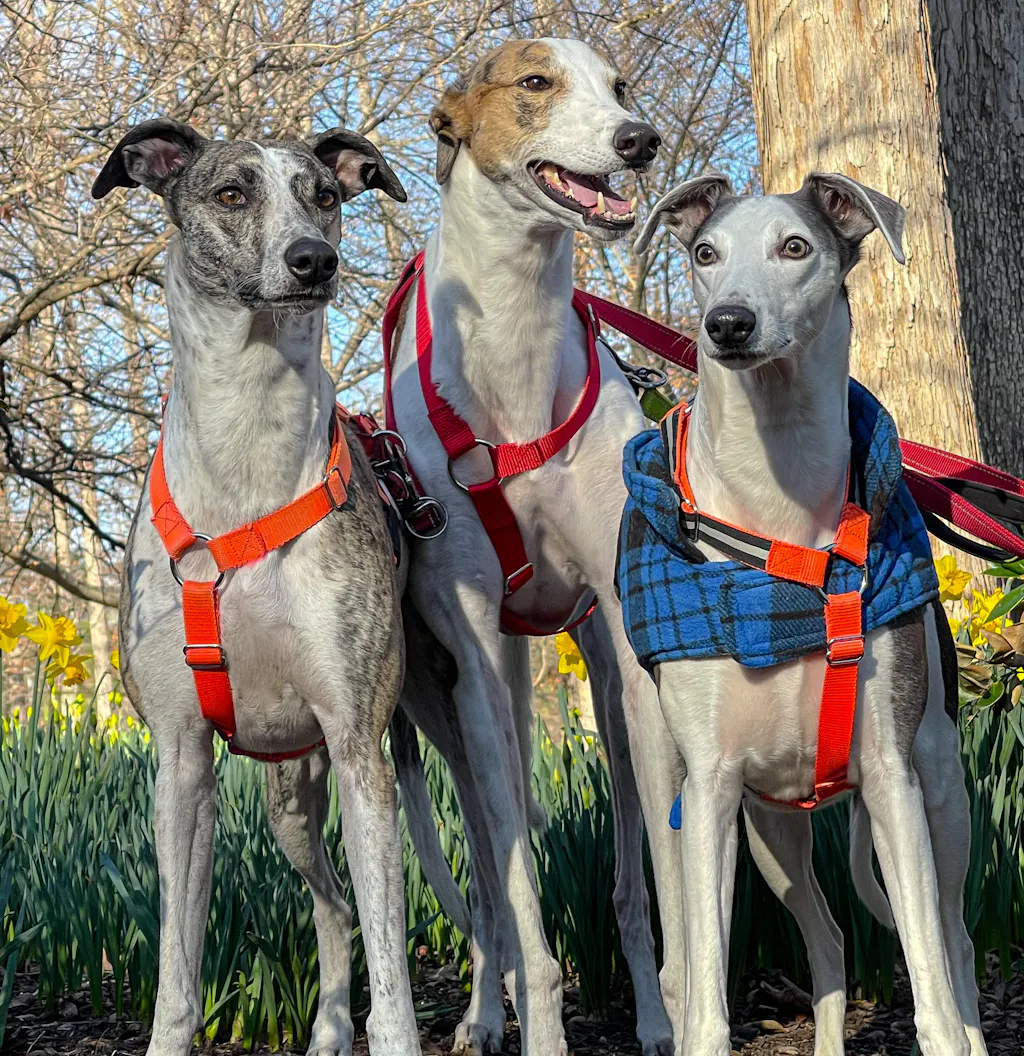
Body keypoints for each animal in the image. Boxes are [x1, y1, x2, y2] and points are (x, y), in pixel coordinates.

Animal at [92, 120, 419, 1056]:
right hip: (288, 801)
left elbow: (396, 981)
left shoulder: (360, 748)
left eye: (326, 195)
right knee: (333, 908)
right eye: (232, 193)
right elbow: (176, 971)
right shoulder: (179, 762)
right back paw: (329, 1030)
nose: (314, 260)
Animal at [386, 38, 679, 1056]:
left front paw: (686, 1007)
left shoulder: (631, 647)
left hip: (602, 678)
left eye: (621, 87)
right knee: (485, 872)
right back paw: (483, 1012)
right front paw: (537, 1017)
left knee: (626, 873)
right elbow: (516, 900)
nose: (640, 139)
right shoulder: (473, 653)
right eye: (535, 83)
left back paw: (651, 1014)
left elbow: (670, 875)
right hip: (477, 702)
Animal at [626, 173, 986, 1056]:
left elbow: (934, 993)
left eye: (796, 247)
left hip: (940, 790)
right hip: (767, 831)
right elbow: (706, 1004)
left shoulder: (890, 775)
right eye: (704, 253)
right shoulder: (711, 789)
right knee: (825, 939)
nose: (727, 324)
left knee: (954, 943)